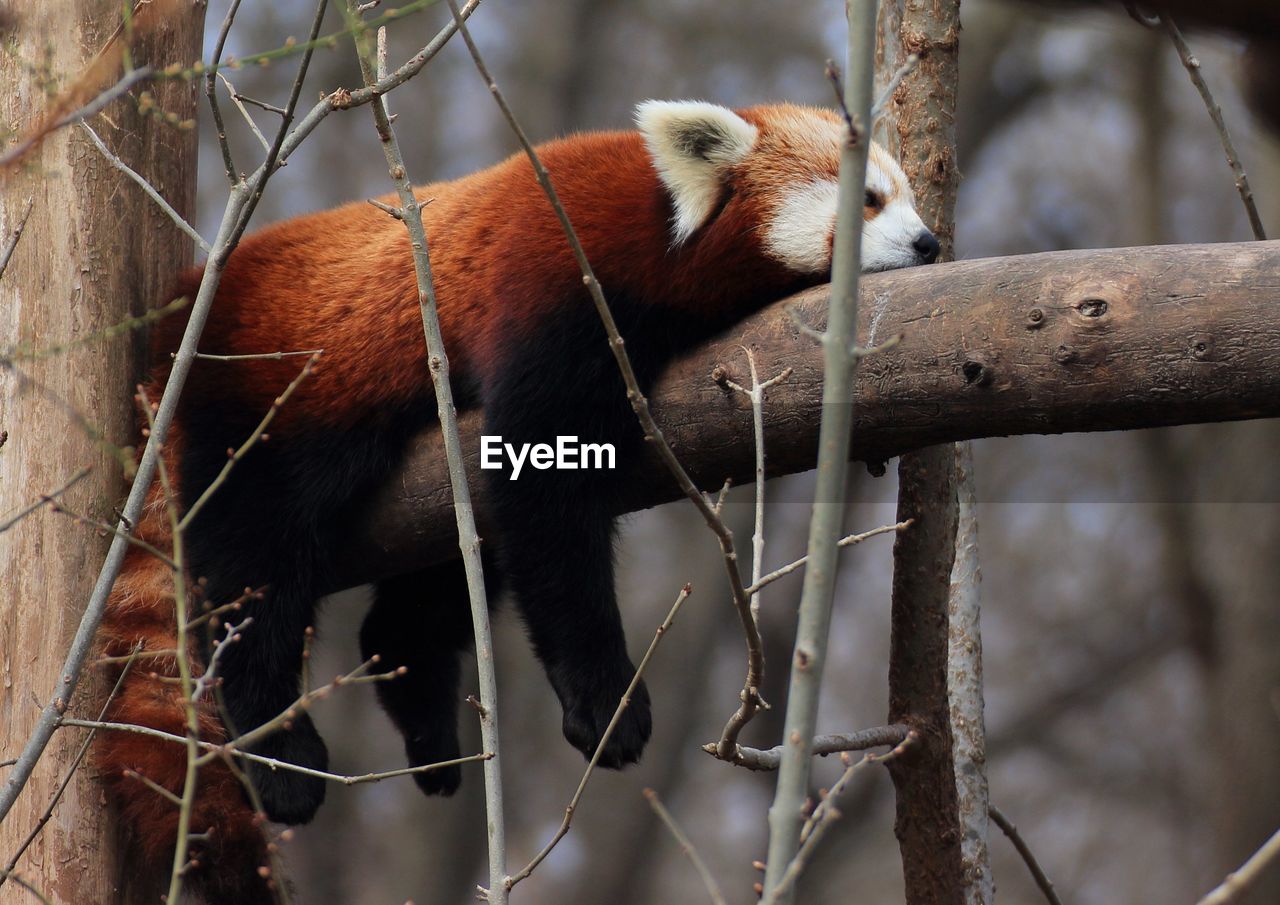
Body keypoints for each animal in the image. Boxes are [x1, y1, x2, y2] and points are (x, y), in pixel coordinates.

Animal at [94, 101, 936, 901]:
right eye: (868, 199)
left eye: (905, 196)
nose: (930, 244)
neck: (652, 229)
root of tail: (178, 316)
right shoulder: (556, 284)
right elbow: (547, 502)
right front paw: (606, 702)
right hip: (256, 403)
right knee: (253, 569)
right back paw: (282, 753)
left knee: (423, 594)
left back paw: (428, 729)